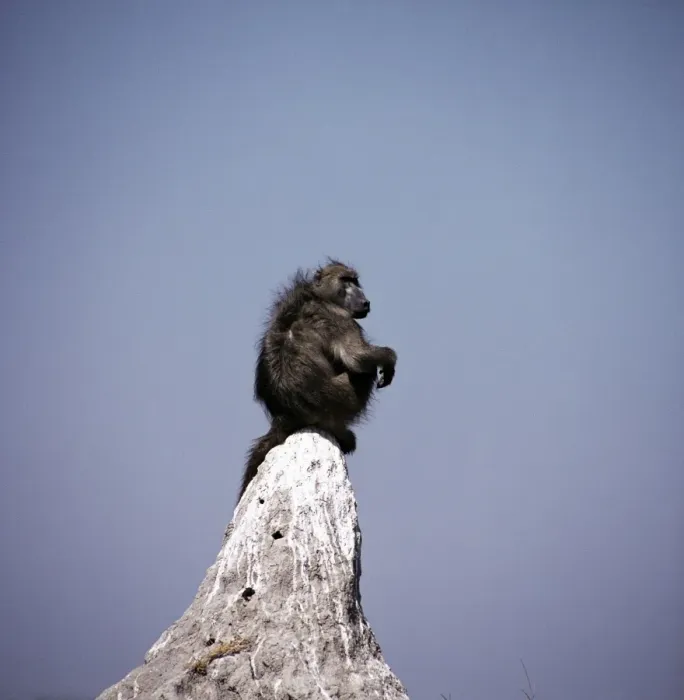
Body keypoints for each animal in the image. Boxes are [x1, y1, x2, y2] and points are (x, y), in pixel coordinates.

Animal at [237, 259, 397, 500]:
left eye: (355, 281)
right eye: (346, 281)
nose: (365, 301)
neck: (317, 296)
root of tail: (286, 417)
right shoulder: (339, 318)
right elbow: (357, 357)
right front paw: (389, 359)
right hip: (344, 398)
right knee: (363, 372)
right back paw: (342, 432)